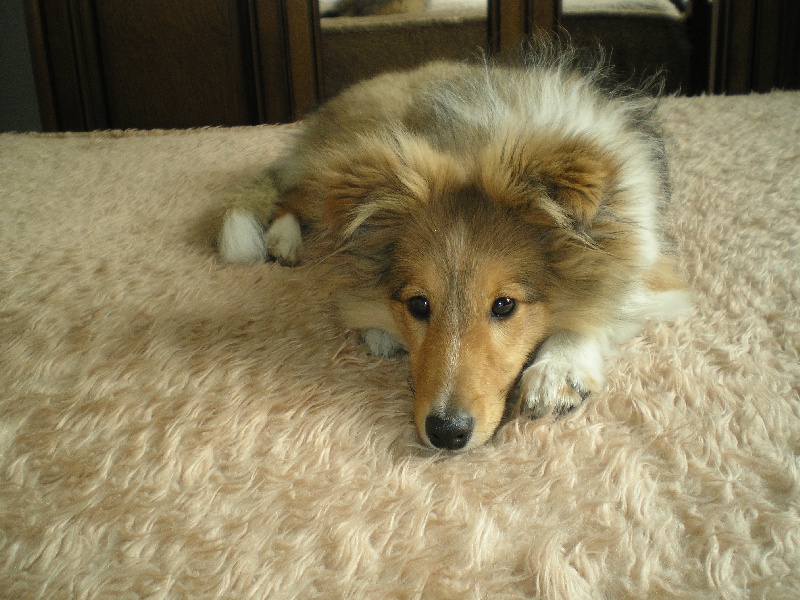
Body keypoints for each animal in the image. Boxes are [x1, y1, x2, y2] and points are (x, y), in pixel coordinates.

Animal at [215, 51, 691, 451]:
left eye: (504, 305)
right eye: (418, 304)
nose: (446, 434)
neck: (480, 141)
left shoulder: (652, 264)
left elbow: (610, 306)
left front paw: (558, 372)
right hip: (343, 160)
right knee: (291, 194)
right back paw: (285, 241)